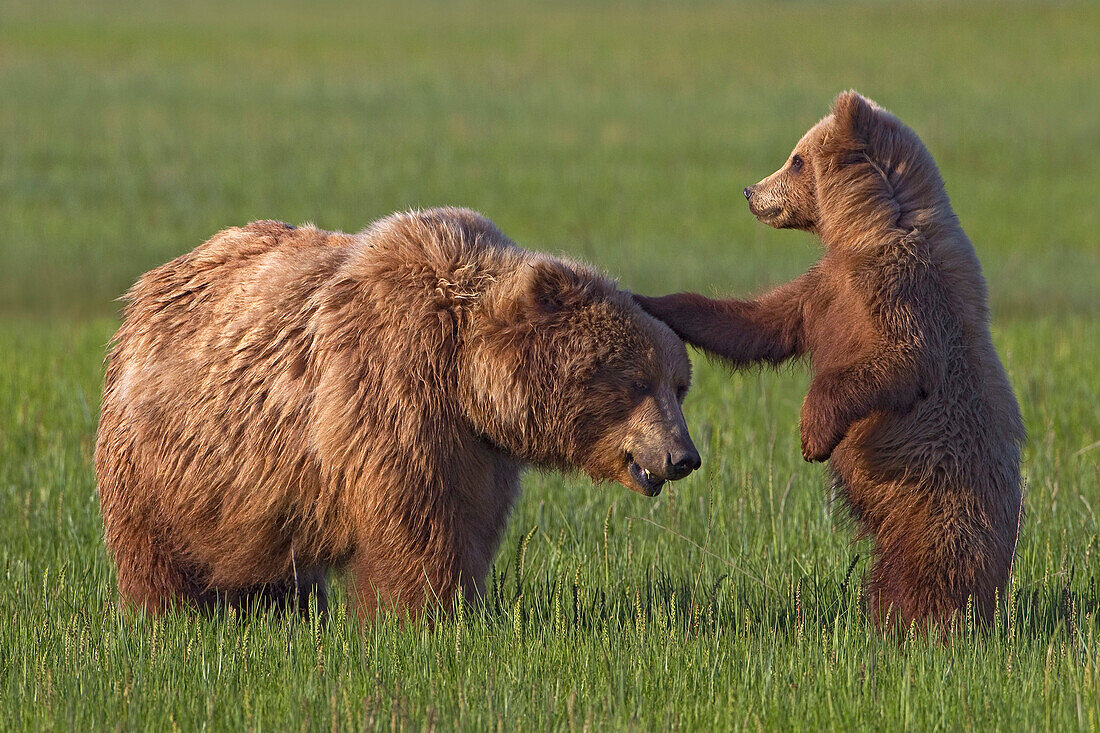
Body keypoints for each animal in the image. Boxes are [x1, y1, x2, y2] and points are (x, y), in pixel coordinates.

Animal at [94, 208, 695, 620]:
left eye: (679, 384)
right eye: (637, 381)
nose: (682, 455)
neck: (466, 371)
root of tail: (144, 292)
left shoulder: (476, 446)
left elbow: (470, 520)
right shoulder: (394, 392)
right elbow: (419, 525)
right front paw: (426, 615)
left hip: (252, 485)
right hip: (162, 459)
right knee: (156, 552)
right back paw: (168, 613)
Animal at [642, 89, 1025, 629]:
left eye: (797, 159)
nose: (750, 191)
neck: (868, 231)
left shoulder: (903, 291)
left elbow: (899, 362)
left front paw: (813, 435)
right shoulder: (825, 290)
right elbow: (758, 324)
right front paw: (652, 301)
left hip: (944, 504)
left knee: (929, 577)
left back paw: (917, 627)